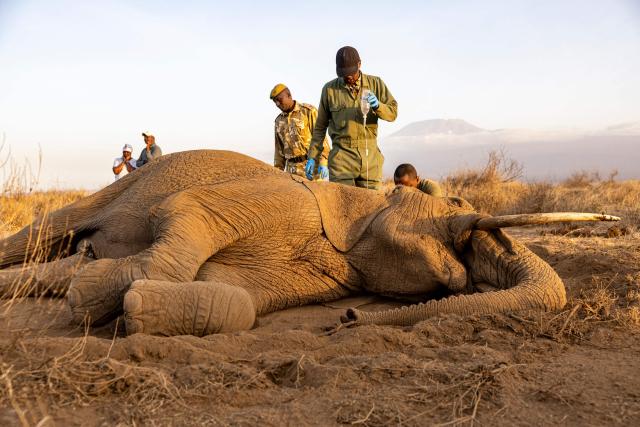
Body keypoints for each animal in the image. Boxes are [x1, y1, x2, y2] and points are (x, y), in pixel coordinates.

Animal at [0, 150, 619, 336]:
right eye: (457, 208)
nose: (347, 317)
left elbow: (239, 301)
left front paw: (132, 307)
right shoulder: (290, 200)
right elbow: (184, 211)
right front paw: (98, 297)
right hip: (114, 186)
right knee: (46, 230)